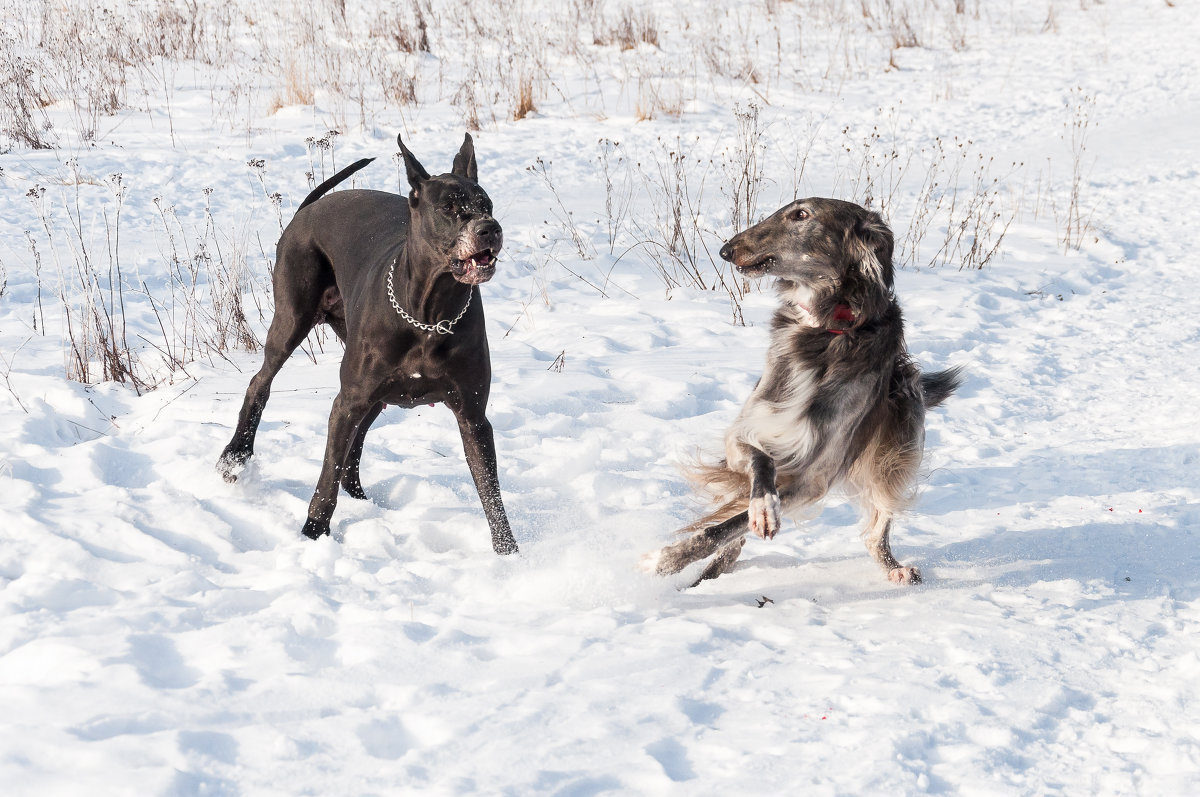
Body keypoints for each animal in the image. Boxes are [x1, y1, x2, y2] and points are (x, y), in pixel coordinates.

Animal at [218, 132, 518, 554]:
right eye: (448, 207)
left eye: (486, 204)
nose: (490, 229)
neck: (430, 313)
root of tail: (306, 210)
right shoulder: (347, 402)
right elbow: (326, 478)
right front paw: (313, 533)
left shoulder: (473, 416)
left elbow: (491, 493)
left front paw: (510, 555)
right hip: (293, 319)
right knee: (260, 382)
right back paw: (235, 457)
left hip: (374, 392)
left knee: (353, 453)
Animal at [643, 199, 960, 585]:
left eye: (801, 215)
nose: (726, 250)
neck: (824, 331)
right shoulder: (745, 433)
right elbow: (759, 469)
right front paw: (763, 508)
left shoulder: (814, 478)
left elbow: (729, 525)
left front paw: (666, 559)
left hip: (905, 431)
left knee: (876, 531)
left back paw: (895, 568)